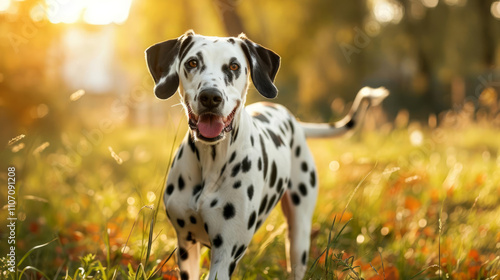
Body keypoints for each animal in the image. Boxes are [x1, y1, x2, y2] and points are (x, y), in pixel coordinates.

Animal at [146, 29, 388, 278]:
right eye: (192, 62)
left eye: (234, 66)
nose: (210, 97)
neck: (210, 161)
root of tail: (294, 121)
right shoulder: (186, 246)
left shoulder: (225, 252)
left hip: (299, 235)